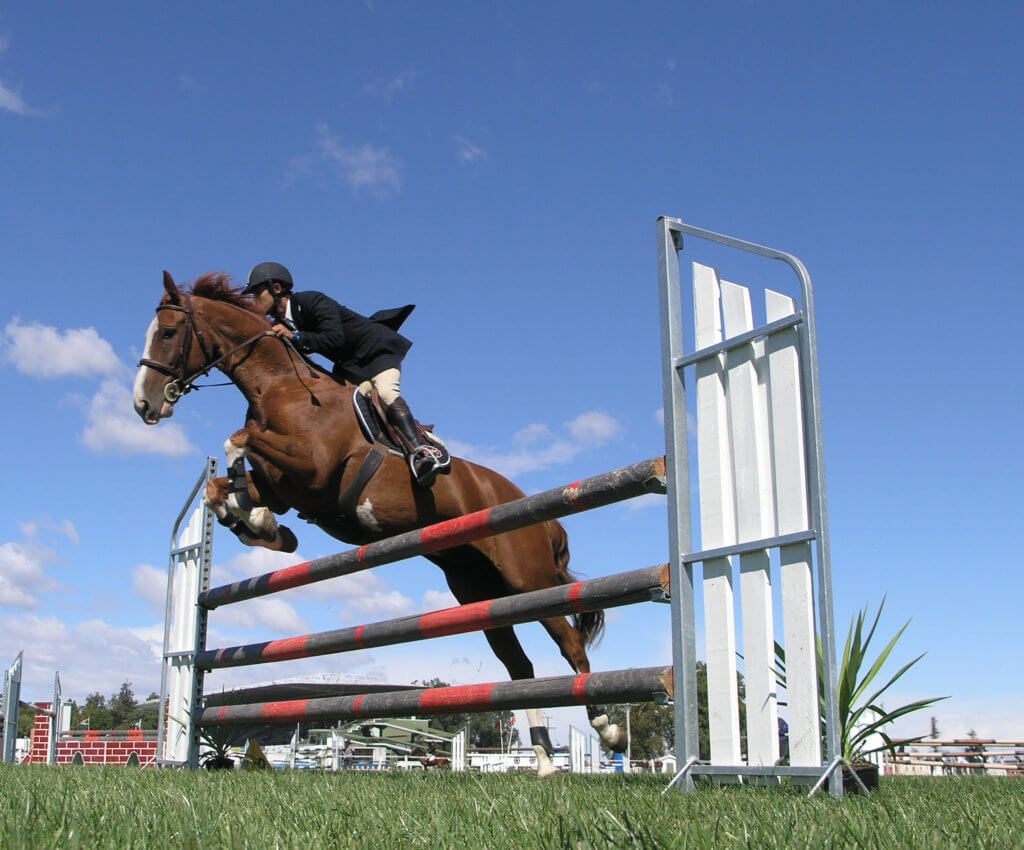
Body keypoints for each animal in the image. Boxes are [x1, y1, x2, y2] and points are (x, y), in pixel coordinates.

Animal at [132, 272, 627, 774]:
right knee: (520, 666)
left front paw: (263, 523)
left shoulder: (312, 466)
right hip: (480, 594)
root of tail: (536, 514)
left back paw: (607, 728)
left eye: (168, 332)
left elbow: (237, 440)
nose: (143, 404)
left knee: (570, 642)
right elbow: (222, 486)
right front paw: (265, 527)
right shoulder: (286, 486)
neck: (279, 386)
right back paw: (544, 761)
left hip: (527, 577)